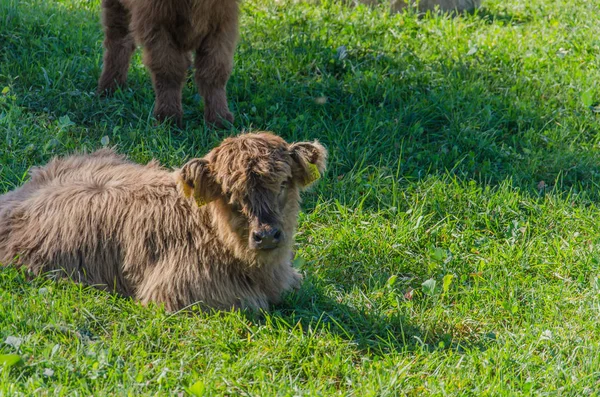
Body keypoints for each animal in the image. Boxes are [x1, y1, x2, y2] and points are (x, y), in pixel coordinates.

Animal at [97, 0, 238, 127]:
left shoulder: (221, 22)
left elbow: (215, 71)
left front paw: (220, 119)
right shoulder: (157, 22)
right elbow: (168, 71)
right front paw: (168, 118)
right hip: (117, 7)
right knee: (118, 40)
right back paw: (110, 87)